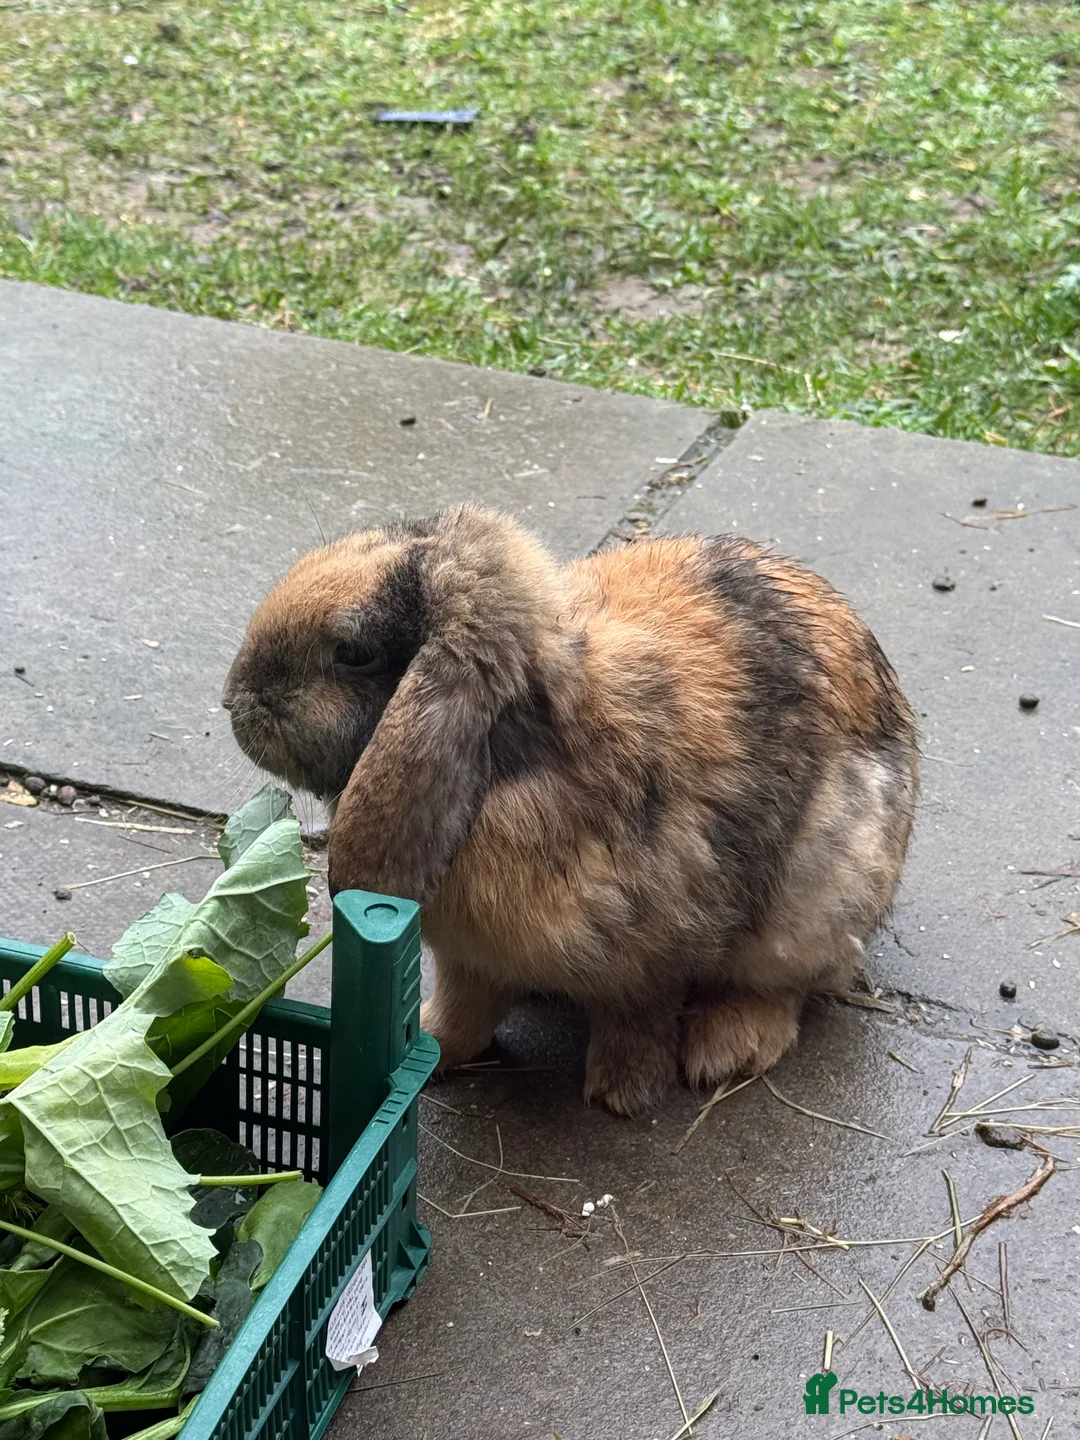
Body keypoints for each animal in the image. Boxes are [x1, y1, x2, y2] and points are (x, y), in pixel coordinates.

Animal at [222, 504, 918, 1116]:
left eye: (354, 653)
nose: (235, 701)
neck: (515, 757)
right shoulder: (466, 959)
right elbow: (464, 1011)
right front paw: (429, 1049)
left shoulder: (647, 960)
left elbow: (636, 1020)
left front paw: (620, 1096)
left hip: (813, 908)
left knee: (783, 986)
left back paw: (725, 1052)